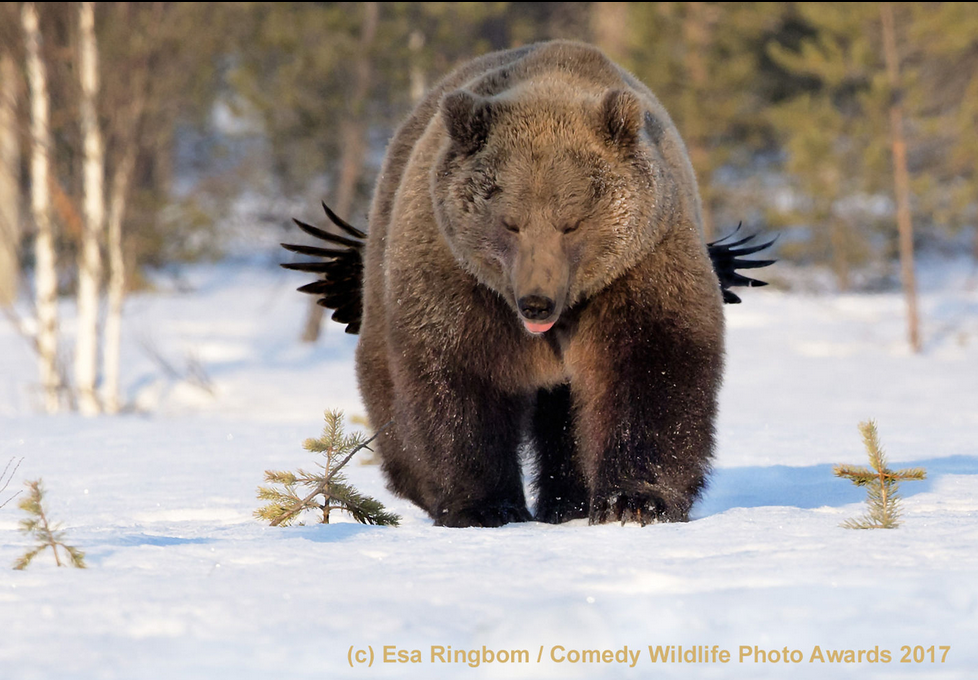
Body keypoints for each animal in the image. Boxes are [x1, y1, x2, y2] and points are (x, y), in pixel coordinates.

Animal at [294, 42, 736, 528]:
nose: (536, 303)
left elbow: (650, 366)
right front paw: (486, 505)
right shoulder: (457, 276)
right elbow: (458, 376)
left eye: (571, 222)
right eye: (510, 222)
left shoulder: (639, 263)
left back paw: (567, 501)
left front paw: (633, 501)